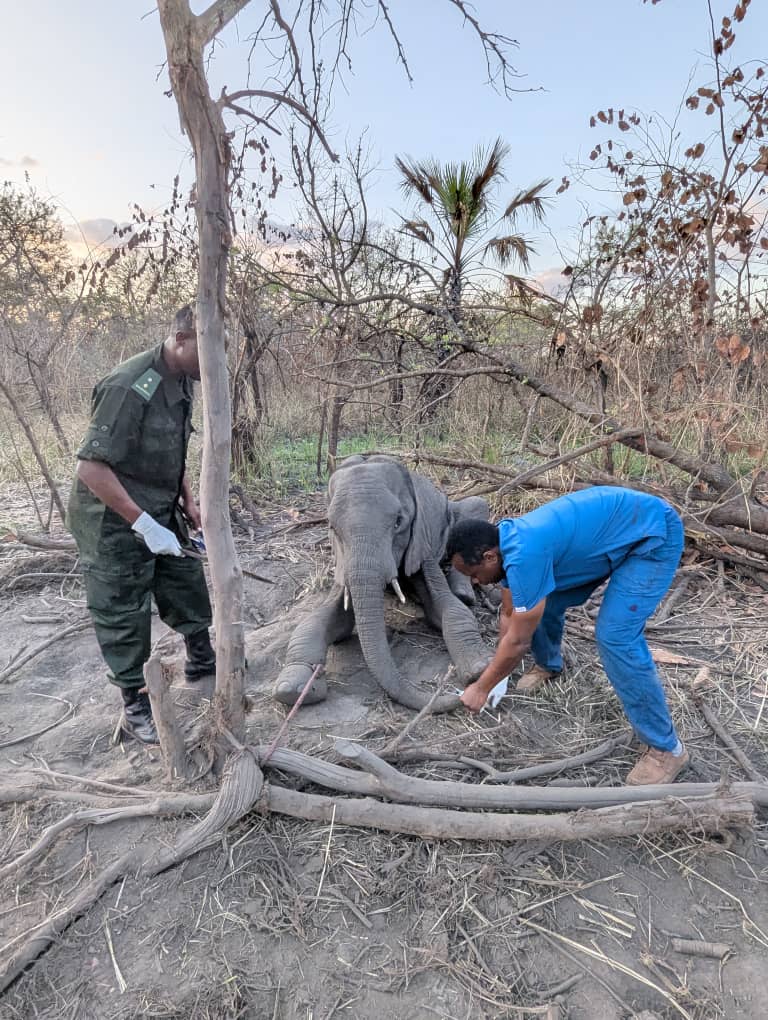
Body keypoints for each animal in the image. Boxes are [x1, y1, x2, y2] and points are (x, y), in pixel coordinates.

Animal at [273, 455, 493, 712]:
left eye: (399, 522)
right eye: (331, 527)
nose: (457, 697)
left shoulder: (422, 544)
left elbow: (451, 608)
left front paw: (480, 670)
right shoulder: (342, 563)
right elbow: (324, 620)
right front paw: (291, 690)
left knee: (477, 505)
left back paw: (463, 593)